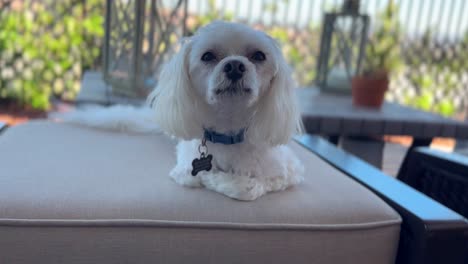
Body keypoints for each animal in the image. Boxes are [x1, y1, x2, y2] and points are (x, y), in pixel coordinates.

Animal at [60, 22, 306, 200]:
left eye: (259, 56)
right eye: (207, 56)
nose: (235, 65)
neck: (227, 134)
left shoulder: (289, 172)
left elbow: (247, 189)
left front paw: (220, 180)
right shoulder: (183, 167)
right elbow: (192, 175)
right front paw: (210, 177)